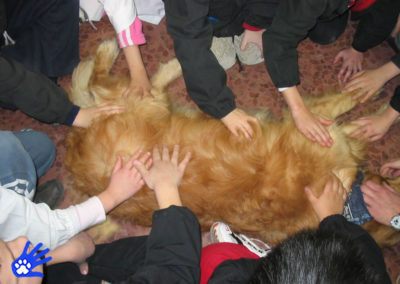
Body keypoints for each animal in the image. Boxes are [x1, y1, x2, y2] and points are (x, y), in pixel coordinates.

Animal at [65, 38, 400, 247]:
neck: (351, 201)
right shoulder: (315, 121)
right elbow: (349, 98)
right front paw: (376, 91)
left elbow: (355, 123)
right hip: (144, 105)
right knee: (100, 80)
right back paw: (118, 53)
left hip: (149, 105)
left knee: (135, 84)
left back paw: (170, 66)